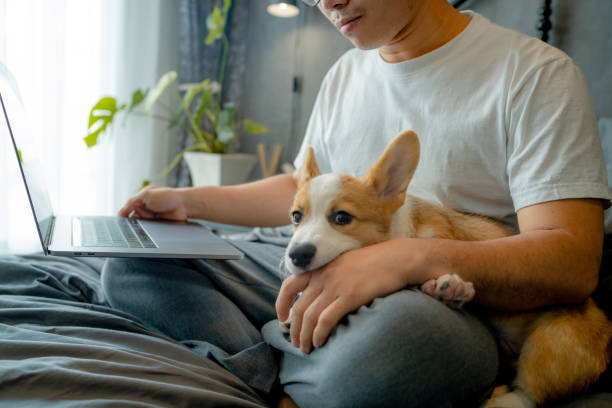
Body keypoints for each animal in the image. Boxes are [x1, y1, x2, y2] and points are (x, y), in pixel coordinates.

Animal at [284, 131, 612, 408]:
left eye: (342, 218)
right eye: (296, 216)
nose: (296, 255)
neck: (401, 230)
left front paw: (452, 286)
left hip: (551, 343)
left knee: (527, 394)